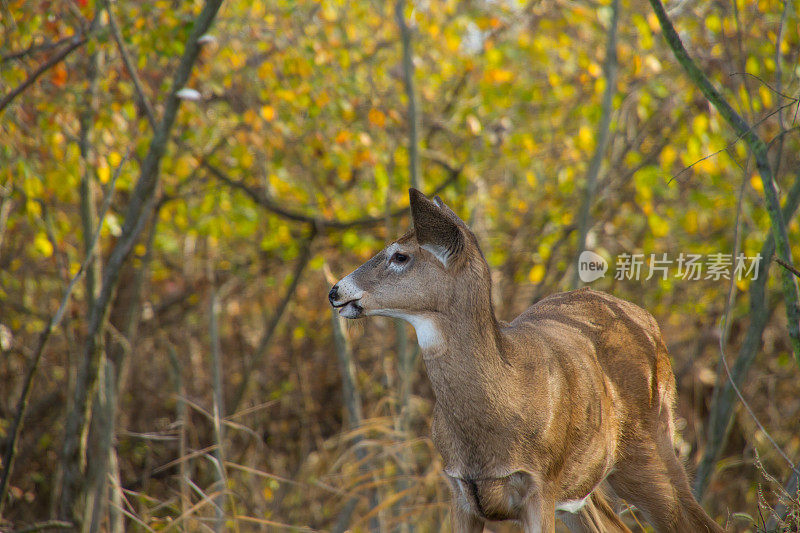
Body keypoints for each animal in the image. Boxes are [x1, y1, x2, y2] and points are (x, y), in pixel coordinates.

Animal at [326, 189, 724, 528]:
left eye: (400, 256)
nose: (335, 291)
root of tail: (649, 320)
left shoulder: (540, 486)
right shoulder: (458, 492)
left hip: (653, 448)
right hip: (583, 489)